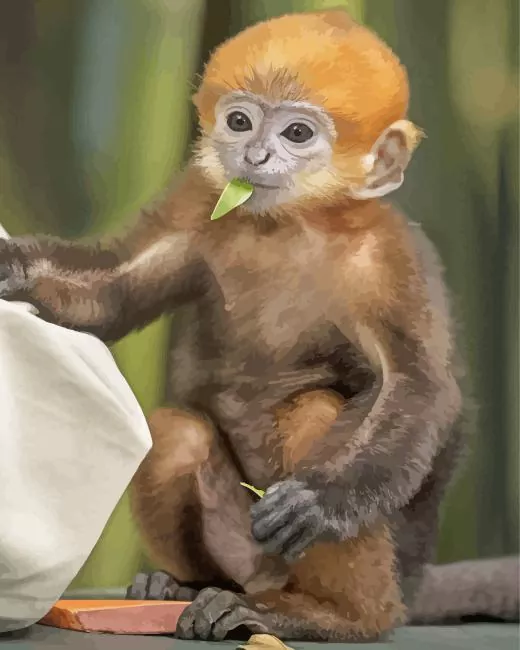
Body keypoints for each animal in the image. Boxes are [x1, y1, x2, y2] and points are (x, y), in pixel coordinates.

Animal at [0, 9, 518, 642]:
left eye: (296, 134)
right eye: (240, 121)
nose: (254, 157)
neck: (287, 225)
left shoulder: (391, 260)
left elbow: (415, 386)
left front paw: (321, 501)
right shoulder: (199, 198)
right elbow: (114, 290)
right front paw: (13, 267)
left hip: (340, 566)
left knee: (313, 413)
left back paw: (331, 616)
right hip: (236, 545)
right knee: (177, 436)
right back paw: (184, 586)